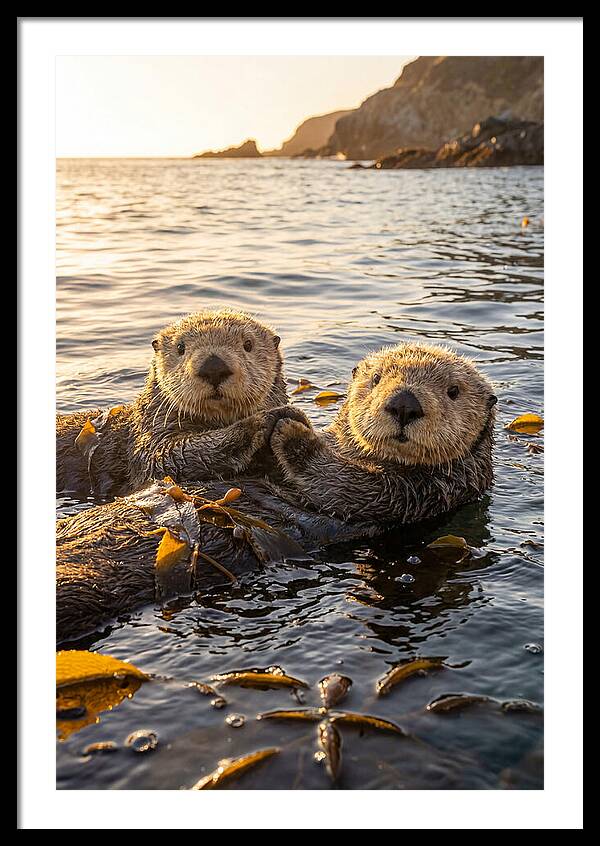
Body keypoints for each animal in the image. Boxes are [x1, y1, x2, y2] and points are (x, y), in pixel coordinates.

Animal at [56, 309, 308, 498]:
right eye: (180, 348)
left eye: (248, 344)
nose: (213, 366)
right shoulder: (150, 439)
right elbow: (168, 456)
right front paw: (267, 419)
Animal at [56, 343, 497, 642]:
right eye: (375, 381)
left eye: (453, 391)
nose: (404, 403)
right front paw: (274, 419)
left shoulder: (419, 494)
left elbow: (343, 483)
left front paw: (290, 429)